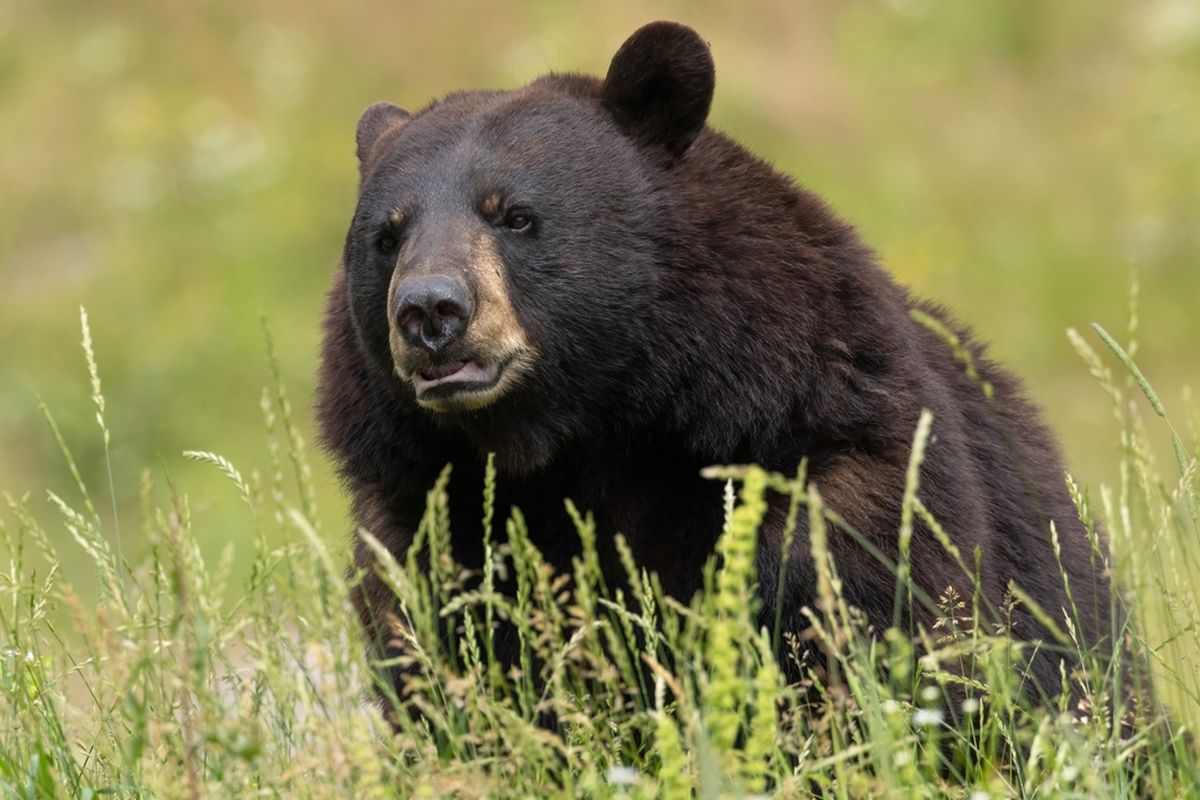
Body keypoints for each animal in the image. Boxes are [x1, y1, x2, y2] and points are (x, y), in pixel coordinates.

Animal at [314, 21, 1108, 705]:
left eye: (514, 215)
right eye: (388, 236)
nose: (430, 311)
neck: (587, 434)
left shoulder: (833, 479)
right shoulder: (423, 525)